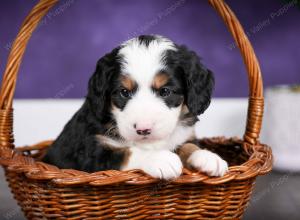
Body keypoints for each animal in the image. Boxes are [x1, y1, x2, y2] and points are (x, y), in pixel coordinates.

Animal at [43, 34, 229, 179]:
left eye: (165, 91)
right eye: (124, 92)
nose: (143, 129)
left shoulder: (184, 136)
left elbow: (189, 146)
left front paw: (208, 157)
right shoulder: (91, 153)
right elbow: (127, 152)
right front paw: (161, 159)